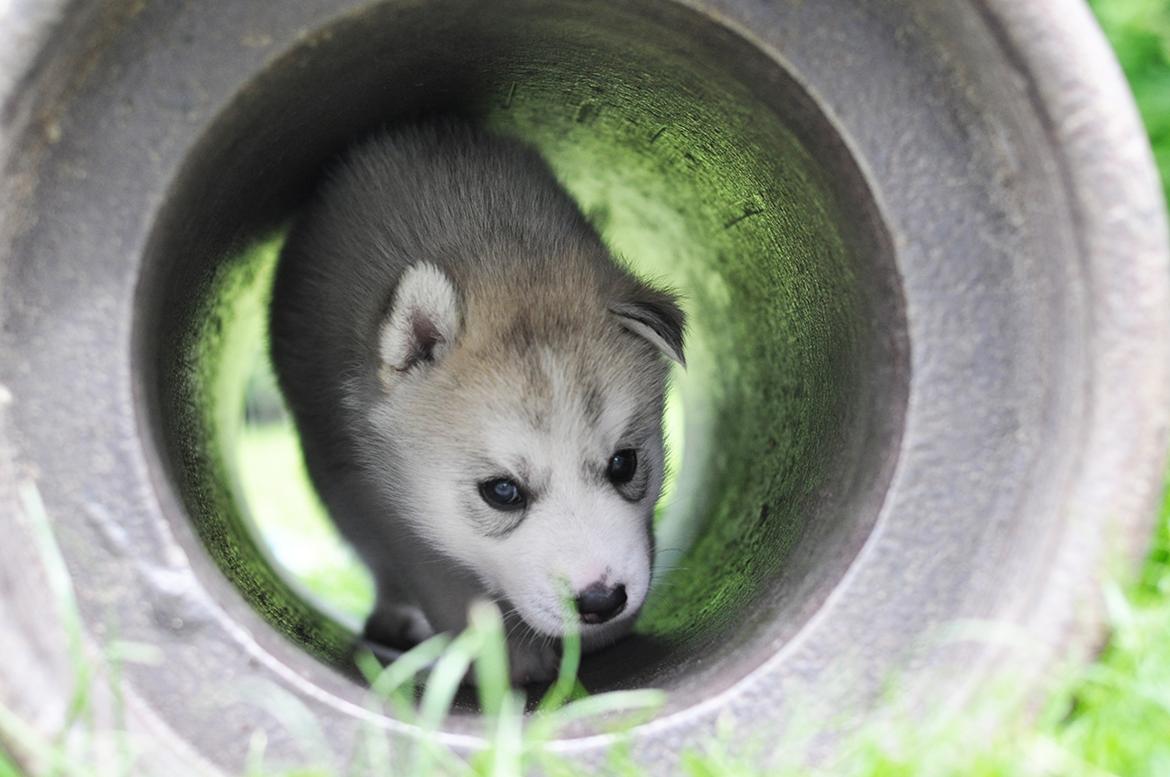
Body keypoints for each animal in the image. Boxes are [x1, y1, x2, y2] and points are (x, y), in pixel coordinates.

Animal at [267, 119, 683, 678]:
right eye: (502, 492)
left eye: (624, 464)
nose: (602, 602)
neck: (498, 247)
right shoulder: (384, 500)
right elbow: (445, 581)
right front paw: (505, 662)